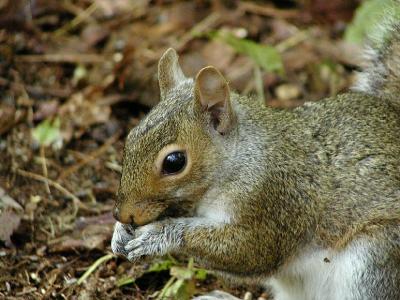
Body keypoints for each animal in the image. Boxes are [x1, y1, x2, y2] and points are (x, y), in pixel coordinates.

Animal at [110, 9, 400, 300]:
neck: (240, 159)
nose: (123, 215)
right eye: (131, 136)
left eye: (174, 162)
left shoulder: (275, 201)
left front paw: (158, 235)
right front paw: (119, 234)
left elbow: (250, 251)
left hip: (374, 260)